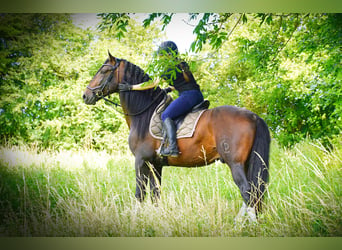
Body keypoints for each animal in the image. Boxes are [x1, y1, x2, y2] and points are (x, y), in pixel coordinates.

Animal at [82, 51, 270, 222]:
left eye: (104, 71)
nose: (85, 95)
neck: (144, 113)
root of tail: (253, 116)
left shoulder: (141, 161)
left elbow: (139, 194)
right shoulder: (155, 164)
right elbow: (155, 194)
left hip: (235, 164)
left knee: (248, 192)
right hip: (246, 163)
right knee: (254, 193)